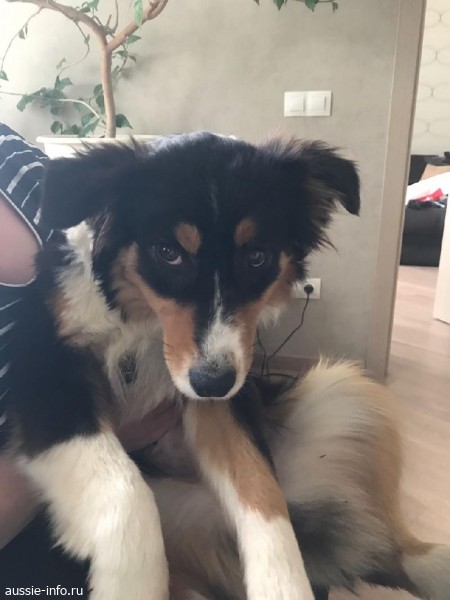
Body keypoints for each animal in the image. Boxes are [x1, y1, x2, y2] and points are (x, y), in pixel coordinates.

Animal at [4, 131, 447, 599]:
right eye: (168, 252)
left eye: (257, 257)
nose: (213, 383)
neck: (141, 320)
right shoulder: (44, 369)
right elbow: (127, 491)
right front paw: (132, 583)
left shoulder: (224, 392)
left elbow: (263, 493)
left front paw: (283, 587)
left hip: (347, 389)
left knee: (387, 544)